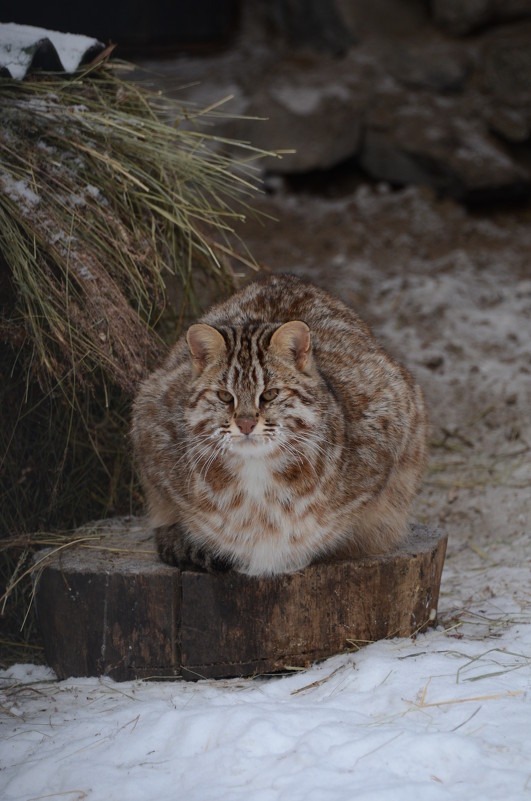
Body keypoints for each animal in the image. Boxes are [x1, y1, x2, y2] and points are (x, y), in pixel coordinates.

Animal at [132, 276, 428, 576]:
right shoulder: (150, 423)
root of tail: (284, 279)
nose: (246, 424)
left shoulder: (395, 417)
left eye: (270, 395)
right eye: (225, 396)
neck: (256, 469)